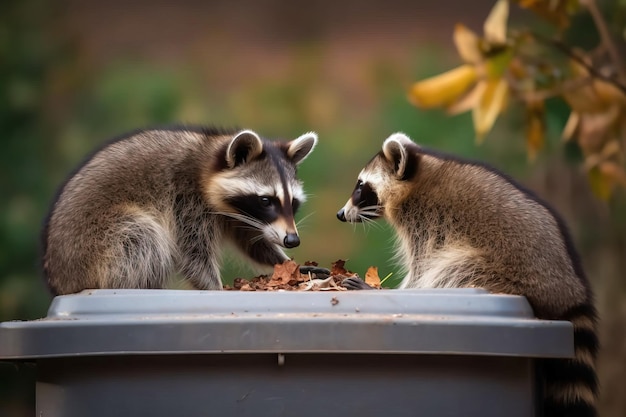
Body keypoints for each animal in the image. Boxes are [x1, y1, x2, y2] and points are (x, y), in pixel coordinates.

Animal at [42, 125, 316, 294]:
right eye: (266, 200)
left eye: (293, 202)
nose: (292, 240)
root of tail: (61, 280)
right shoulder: (185, 199)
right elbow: (192, 254)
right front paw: (215, 287)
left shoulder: (238, 214)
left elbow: (251, 240)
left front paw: (286, 263)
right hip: (98, 239)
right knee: (143, 239)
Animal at [334, 132, 596, 416]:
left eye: (361, 187)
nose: (340, 214)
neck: (417, 177)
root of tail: (571, 291)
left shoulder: (426, 221)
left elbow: (422, 267)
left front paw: (389, 289)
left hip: (503, 271)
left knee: (453, 268)